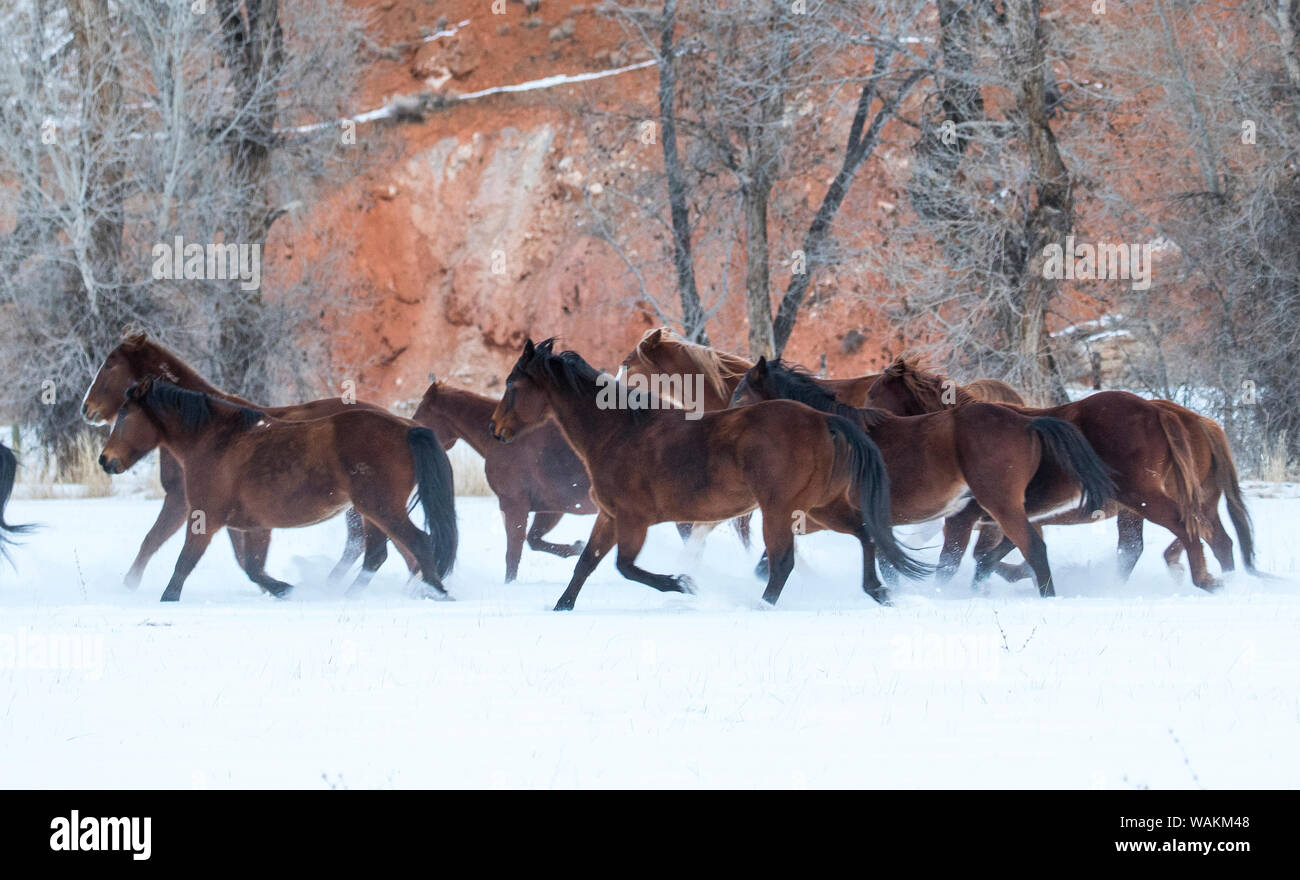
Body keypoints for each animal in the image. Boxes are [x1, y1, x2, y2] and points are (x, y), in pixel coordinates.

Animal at [81, 330, 399, 588]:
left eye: (109, 364)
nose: (87, 409)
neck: (201, 428)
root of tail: (397, 421)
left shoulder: (181, 501)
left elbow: (151, 541)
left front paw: (129, 587)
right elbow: (245, 561)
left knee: (368, 546)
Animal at [98, 377, 458, 602]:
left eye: (125, 415)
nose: (105, 460)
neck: (216, 441)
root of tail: (408, 428)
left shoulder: (204, 518)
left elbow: (184, 565)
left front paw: (166, 598)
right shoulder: (251, 526)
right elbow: (253, 569)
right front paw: (287, 590)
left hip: (380, 508)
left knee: (418, 544)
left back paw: (436, 592)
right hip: (372, 511)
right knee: (378, 554)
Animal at [412, 377, 593, 581]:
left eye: (419, 414)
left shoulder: (514, 505)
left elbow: (513, 553)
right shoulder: (551, 508)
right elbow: (533, 541)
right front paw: (578, 547)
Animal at [489, 339, 928, 610]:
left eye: (512, 384)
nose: (496, 429)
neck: (618, 432)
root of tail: (825, 420)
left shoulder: (633, 519)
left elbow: (624, 567)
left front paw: (683, 583)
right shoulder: (610, 517)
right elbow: (586, 563)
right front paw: (561, 606)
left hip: (780, 510)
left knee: (783, 562)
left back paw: (761, 606)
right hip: (821, 506)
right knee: (865, 533)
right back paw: (880, 592)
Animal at [866, 357, 1251, 592]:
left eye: (873, 395)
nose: (863, 424)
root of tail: (1162, 413)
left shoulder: (969, 518)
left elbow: (958, 560)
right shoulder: (1001, 520)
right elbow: (989, 558)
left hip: (1142, 496)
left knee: (1189, 531)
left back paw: (1203, 579)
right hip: (1149, 506)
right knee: (1198, 540)